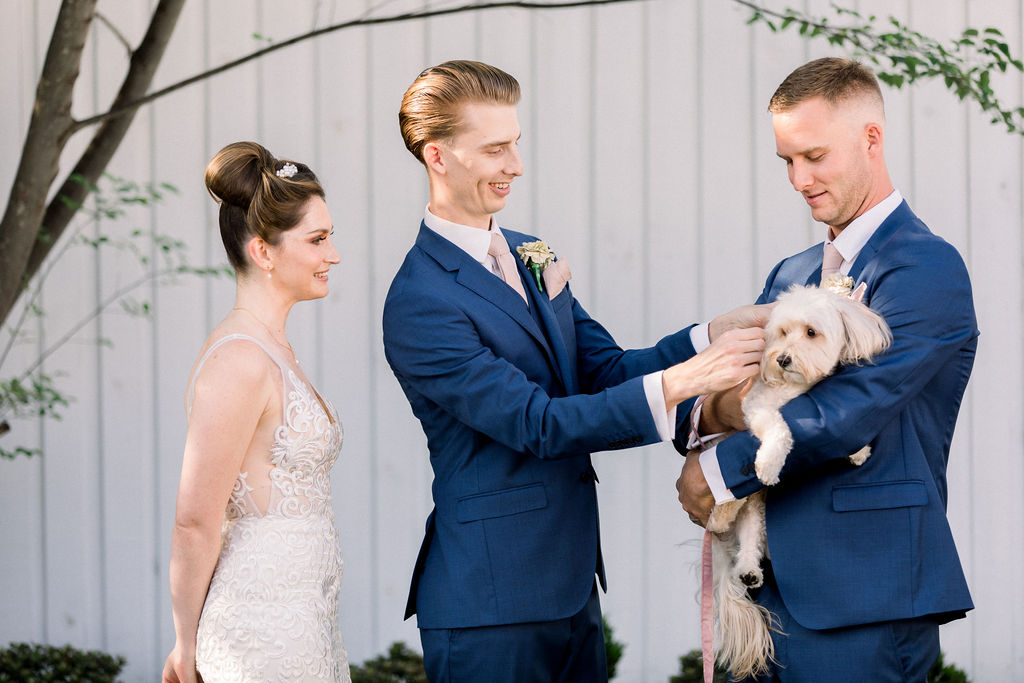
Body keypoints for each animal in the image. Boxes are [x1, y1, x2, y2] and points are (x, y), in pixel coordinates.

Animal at [704, 282, 888, 679]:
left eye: (811, 333)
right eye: (782, 332)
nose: (782, 359)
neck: (794, 389)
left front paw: (859, 451)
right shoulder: (755, 406)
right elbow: (780, 428)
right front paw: (770, 462)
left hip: (757, 514)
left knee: (750, 540)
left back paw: (749, 572)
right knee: (727, 505)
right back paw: (723, 512)